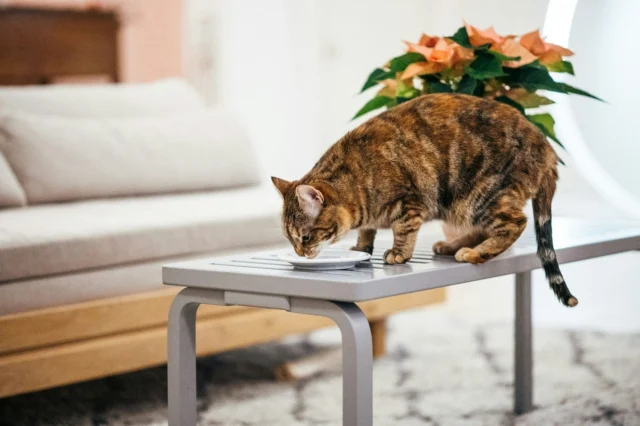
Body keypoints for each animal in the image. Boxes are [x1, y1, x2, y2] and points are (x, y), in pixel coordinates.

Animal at [270, 92, 580, 306]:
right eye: (290, 239)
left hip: (479, 196)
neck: (357, 180)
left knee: (516, 223)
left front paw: (398, 253)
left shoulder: (409, 203)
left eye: (305, 238)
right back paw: (452, 245)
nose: (300, 253)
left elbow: (403, 232)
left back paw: (473, 253)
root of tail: (546, 147)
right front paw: (361, 246)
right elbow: (366, 231)